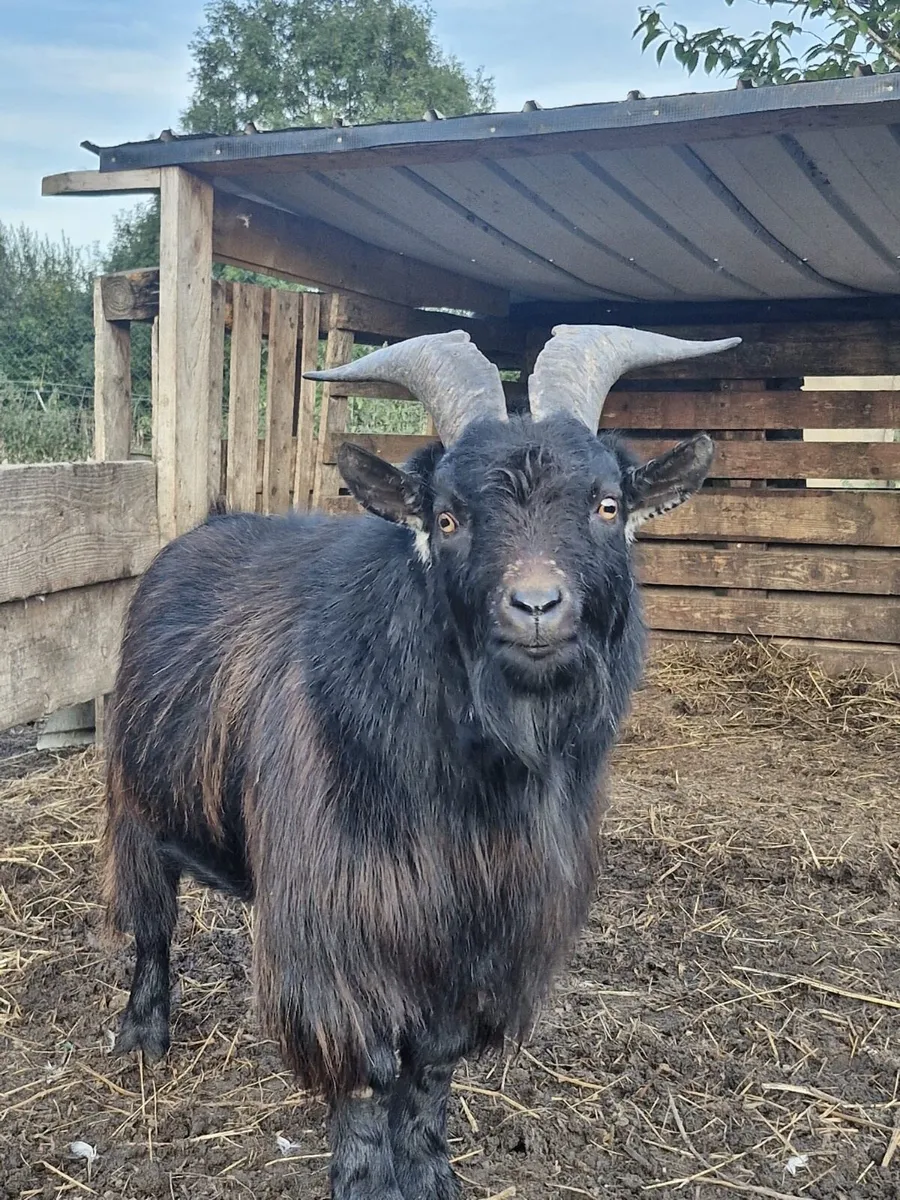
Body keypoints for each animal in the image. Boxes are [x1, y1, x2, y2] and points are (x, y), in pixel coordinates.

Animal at [102, 324, 738, 1199]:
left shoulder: (481, 934)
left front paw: (431, 1170)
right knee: (152, 927)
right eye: (446, 518)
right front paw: (365, 1179)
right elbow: (364, 1070)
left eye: (607, 506)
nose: (537, 607)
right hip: (135, 805)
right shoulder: (340, 927)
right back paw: (143, 1037)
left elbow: (433, 1065)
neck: (467, 793)